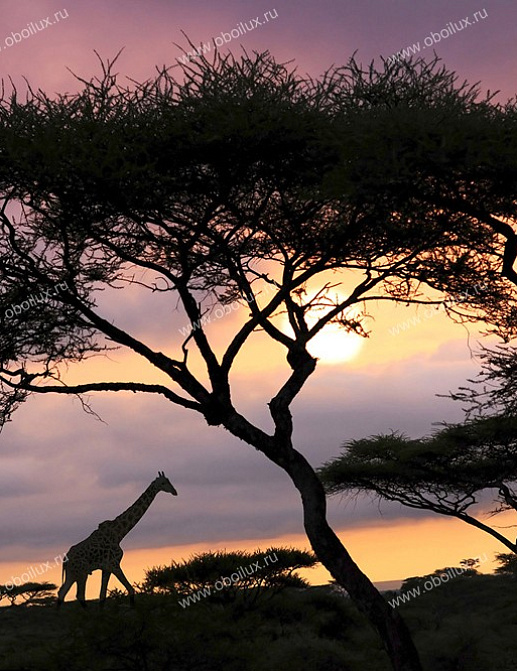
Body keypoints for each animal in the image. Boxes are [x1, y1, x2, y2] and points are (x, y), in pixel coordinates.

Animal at [57, 471, 178, 608]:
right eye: (163, 483)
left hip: (72, 574)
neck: (119, 534)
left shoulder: (106, 568)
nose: (175, 491)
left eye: (169, 480)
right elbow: (130, 589)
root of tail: (65, 560)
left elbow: (102, 596)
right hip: (81, 573)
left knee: (62, 593)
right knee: (79, 595)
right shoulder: (114, 564)